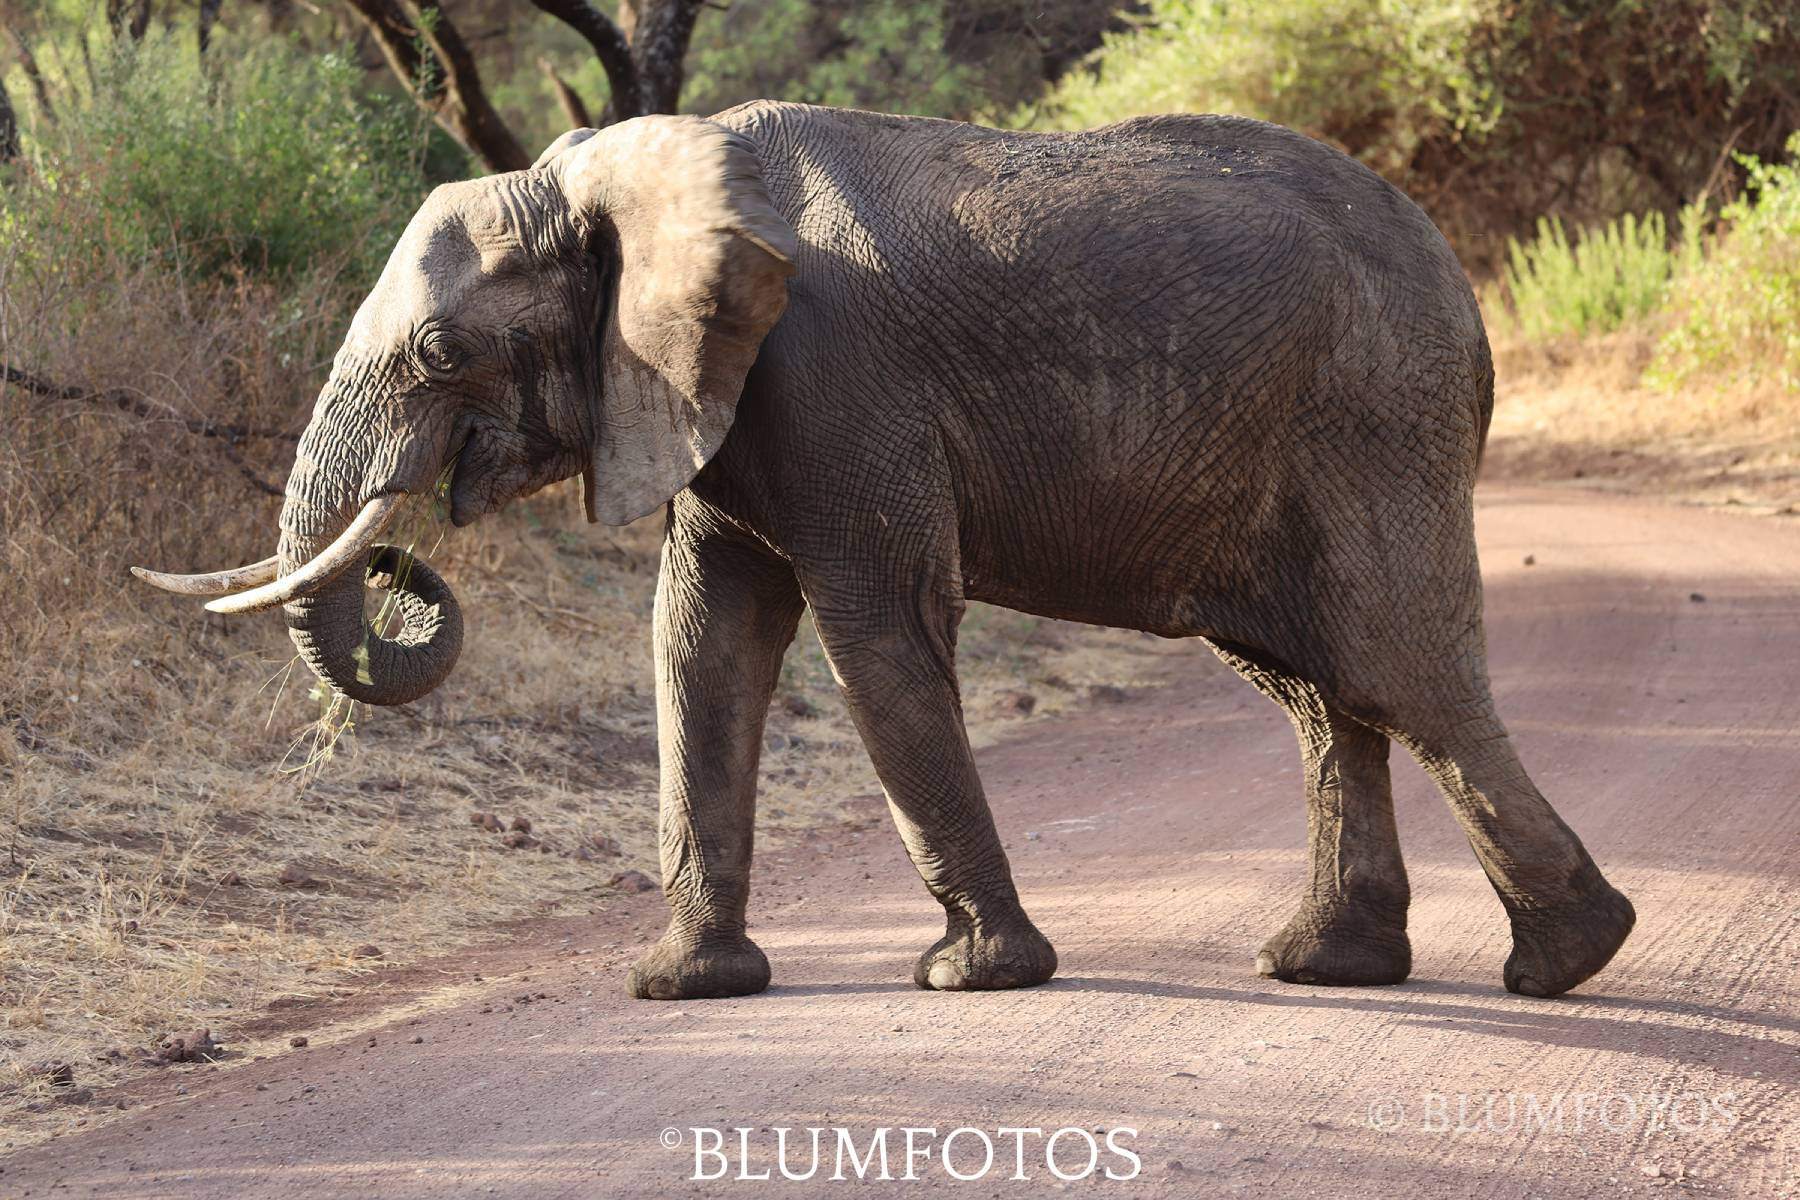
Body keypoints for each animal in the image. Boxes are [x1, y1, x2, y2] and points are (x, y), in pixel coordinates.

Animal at [140, 103, 1634, 1007]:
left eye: (444, 353)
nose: (405, 565)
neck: (629, 176)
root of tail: (1459, 283)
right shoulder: (710, 393)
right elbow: (701, 643)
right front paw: (682, 988)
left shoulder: (833, 374)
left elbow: (874, 631)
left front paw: (972, 978)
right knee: (1319, 685)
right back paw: (1330, 968)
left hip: (1373, 413)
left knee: (1395, 666)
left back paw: (1567, 964)